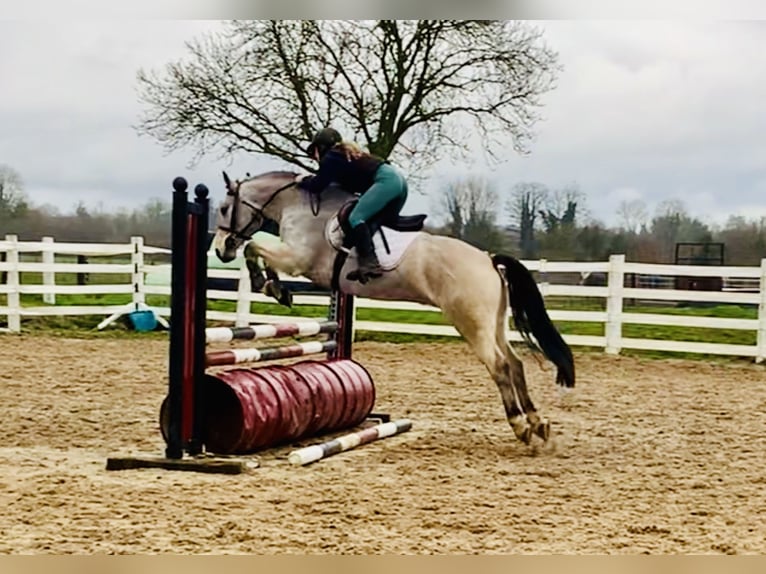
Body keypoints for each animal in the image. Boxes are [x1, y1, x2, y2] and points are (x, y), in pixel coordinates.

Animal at [212, 170, 575, 445]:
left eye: (224, 208)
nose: (220, 250)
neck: (299, 207)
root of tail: (488, 259)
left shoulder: (298, 259)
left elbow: (255, 248)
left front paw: (269, 285)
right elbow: (257, 250)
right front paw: (275, 288)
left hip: (471, 323)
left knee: (499, 365)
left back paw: (521, 426)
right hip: (494, 322)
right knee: (514, 363)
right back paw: (538, 422)